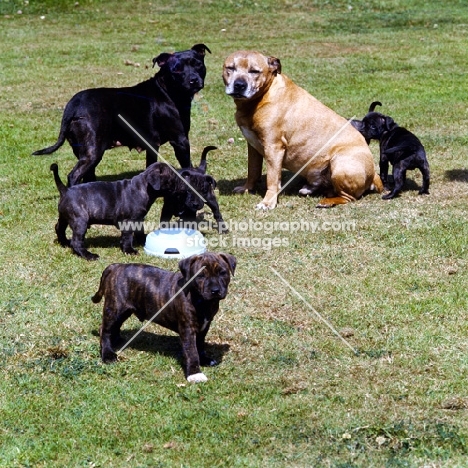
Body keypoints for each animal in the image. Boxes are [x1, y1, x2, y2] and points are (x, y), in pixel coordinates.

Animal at [34, 42, 212, 185]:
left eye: (198, 64)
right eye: (177, 70)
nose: (194, 80)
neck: (167, 90)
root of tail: (73, 105)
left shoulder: (152, 145)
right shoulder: (180, 141)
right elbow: (187, 166)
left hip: (83, 151)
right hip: (93, 151)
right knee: (74, 175)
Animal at [50, 160, 217, 262]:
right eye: (174, 179)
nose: (186, 186)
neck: (144, 187)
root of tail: (65, 190)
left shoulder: (138, 219)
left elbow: (139, 232)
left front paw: (142, 240)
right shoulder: (128, 222)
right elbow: (127, 237)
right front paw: (129, 250)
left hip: (65, 217)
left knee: (59, 228)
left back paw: (64, 242)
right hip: (80, 221)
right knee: (77, 241)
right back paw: (88, 255)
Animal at [92, 252, 238, 380]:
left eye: (223, 273)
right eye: (200, 276)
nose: (215, 290)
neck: (203, 301)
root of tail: (116, 266)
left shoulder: (204, 326)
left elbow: (200, 345)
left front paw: (204, 359)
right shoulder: (187, 328)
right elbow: (192, 351)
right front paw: (194, 373)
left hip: (124, 310)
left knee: (115, 325)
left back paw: (116, 340)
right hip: (115, 307)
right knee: (105, 329)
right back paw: (108, 354)